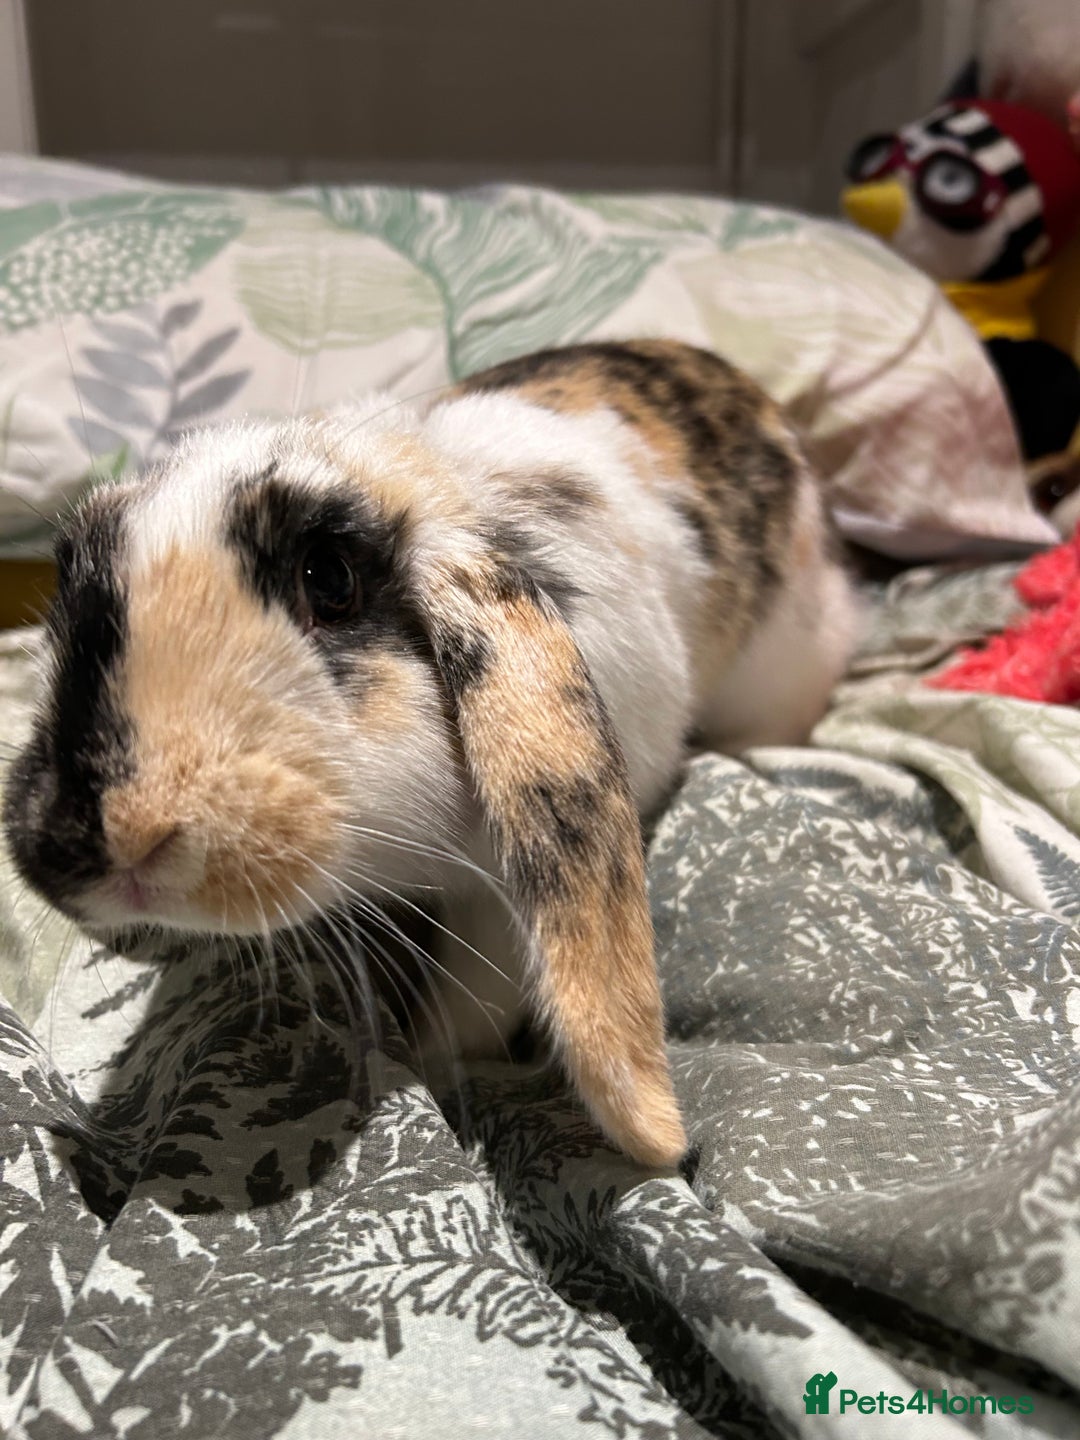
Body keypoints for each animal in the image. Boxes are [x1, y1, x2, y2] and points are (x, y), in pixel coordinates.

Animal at [2, 340, 859, 1170]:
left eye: (330, 578)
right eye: (68, 571)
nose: (118, 836)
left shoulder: (497, 904)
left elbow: (471, 1003)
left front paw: (426, 1065)